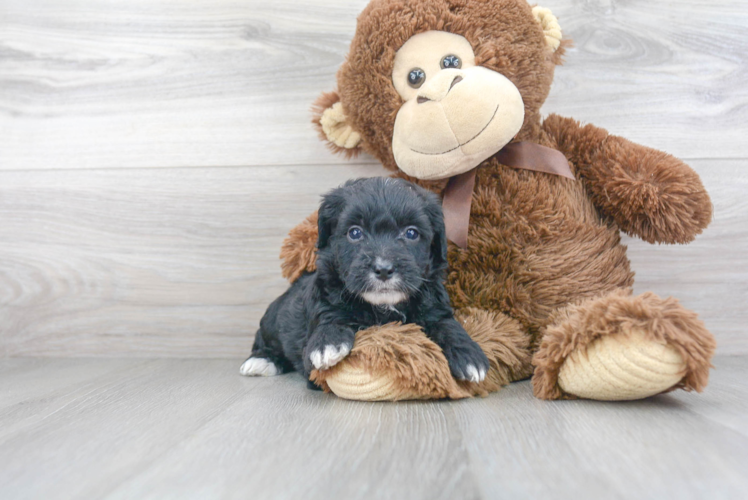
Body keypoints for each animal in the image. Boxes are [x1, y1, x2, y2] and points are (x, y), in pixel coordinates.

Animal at [240, 178, 490, 384]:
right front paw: (326, 342)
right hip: (272, 319)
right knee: (264, 340)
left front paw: (469, 354)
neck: (383, 307)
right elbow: (330, 319)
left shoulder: (434, 305)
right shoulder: (324, 301)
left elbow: (447, 324)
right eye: (355, 233)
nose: (384, 269)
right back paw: (261, 361)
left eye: (411, 233)